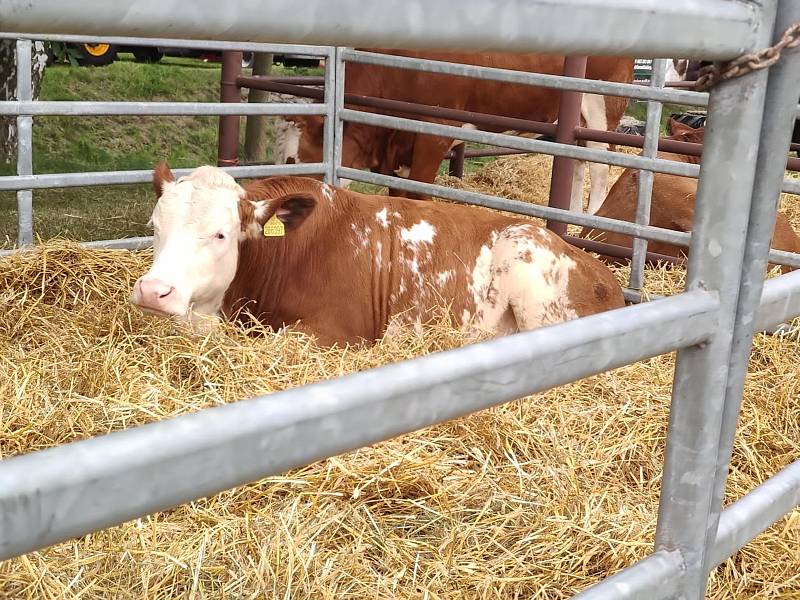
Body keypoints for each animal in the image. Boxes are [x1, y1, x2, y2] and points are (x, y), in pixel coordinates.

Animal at [272, 49, 636, 213]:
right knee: (577, 164)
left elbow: (417, 194)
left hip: (602, 105)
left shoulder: (434, 134)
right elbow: (397, 194)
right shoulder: (397, 147)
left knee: (600, 168)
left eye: (292, 161)